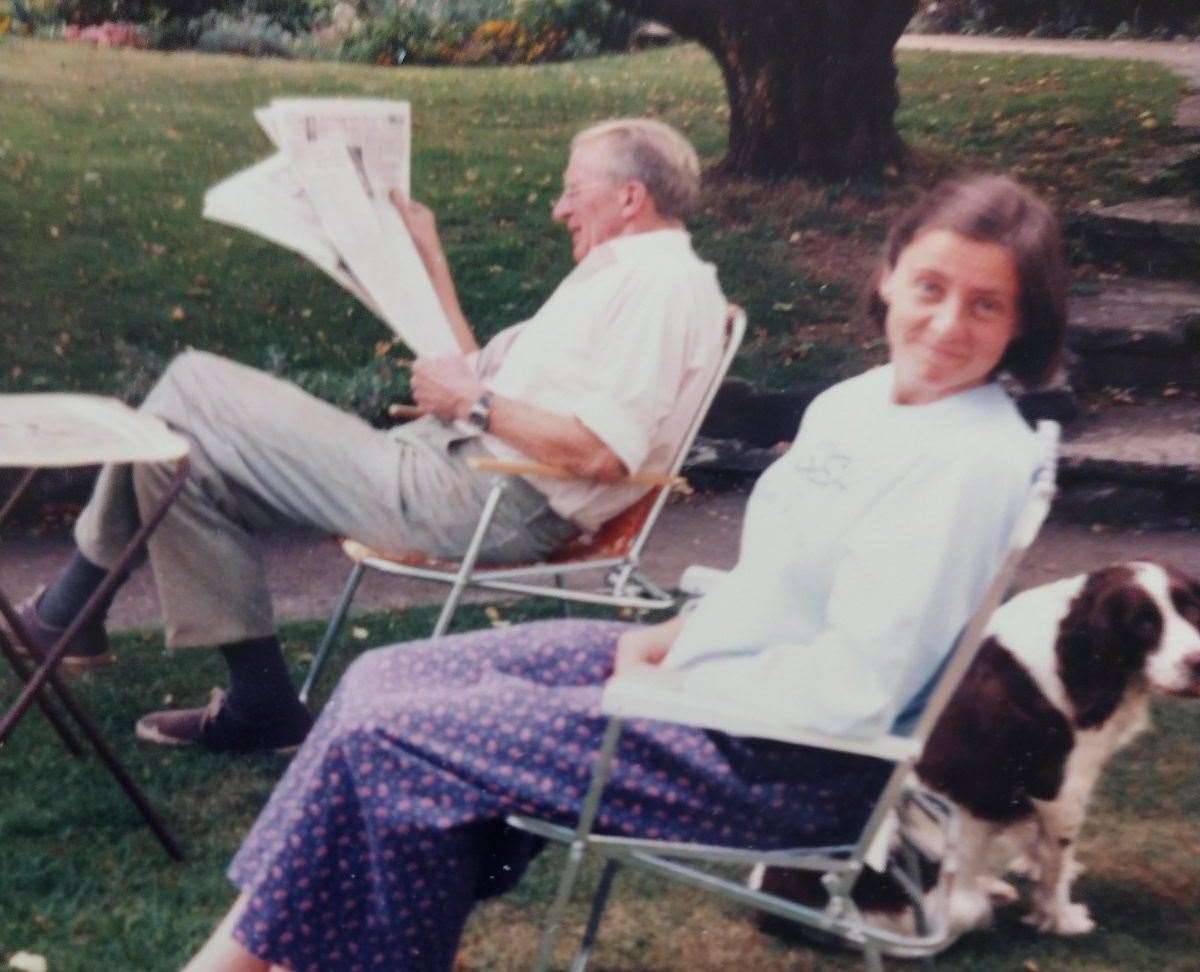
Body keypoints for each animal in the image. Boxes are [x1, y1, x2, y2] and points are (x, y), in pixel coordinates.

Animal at [758, 561, 1200, 945]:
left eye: (1188, 607)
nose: (1197, 664)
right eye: (1143, 622)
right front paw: (1062, 918)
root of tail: (777, 905)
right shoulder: (1062, 790)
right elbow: (1055, 869)